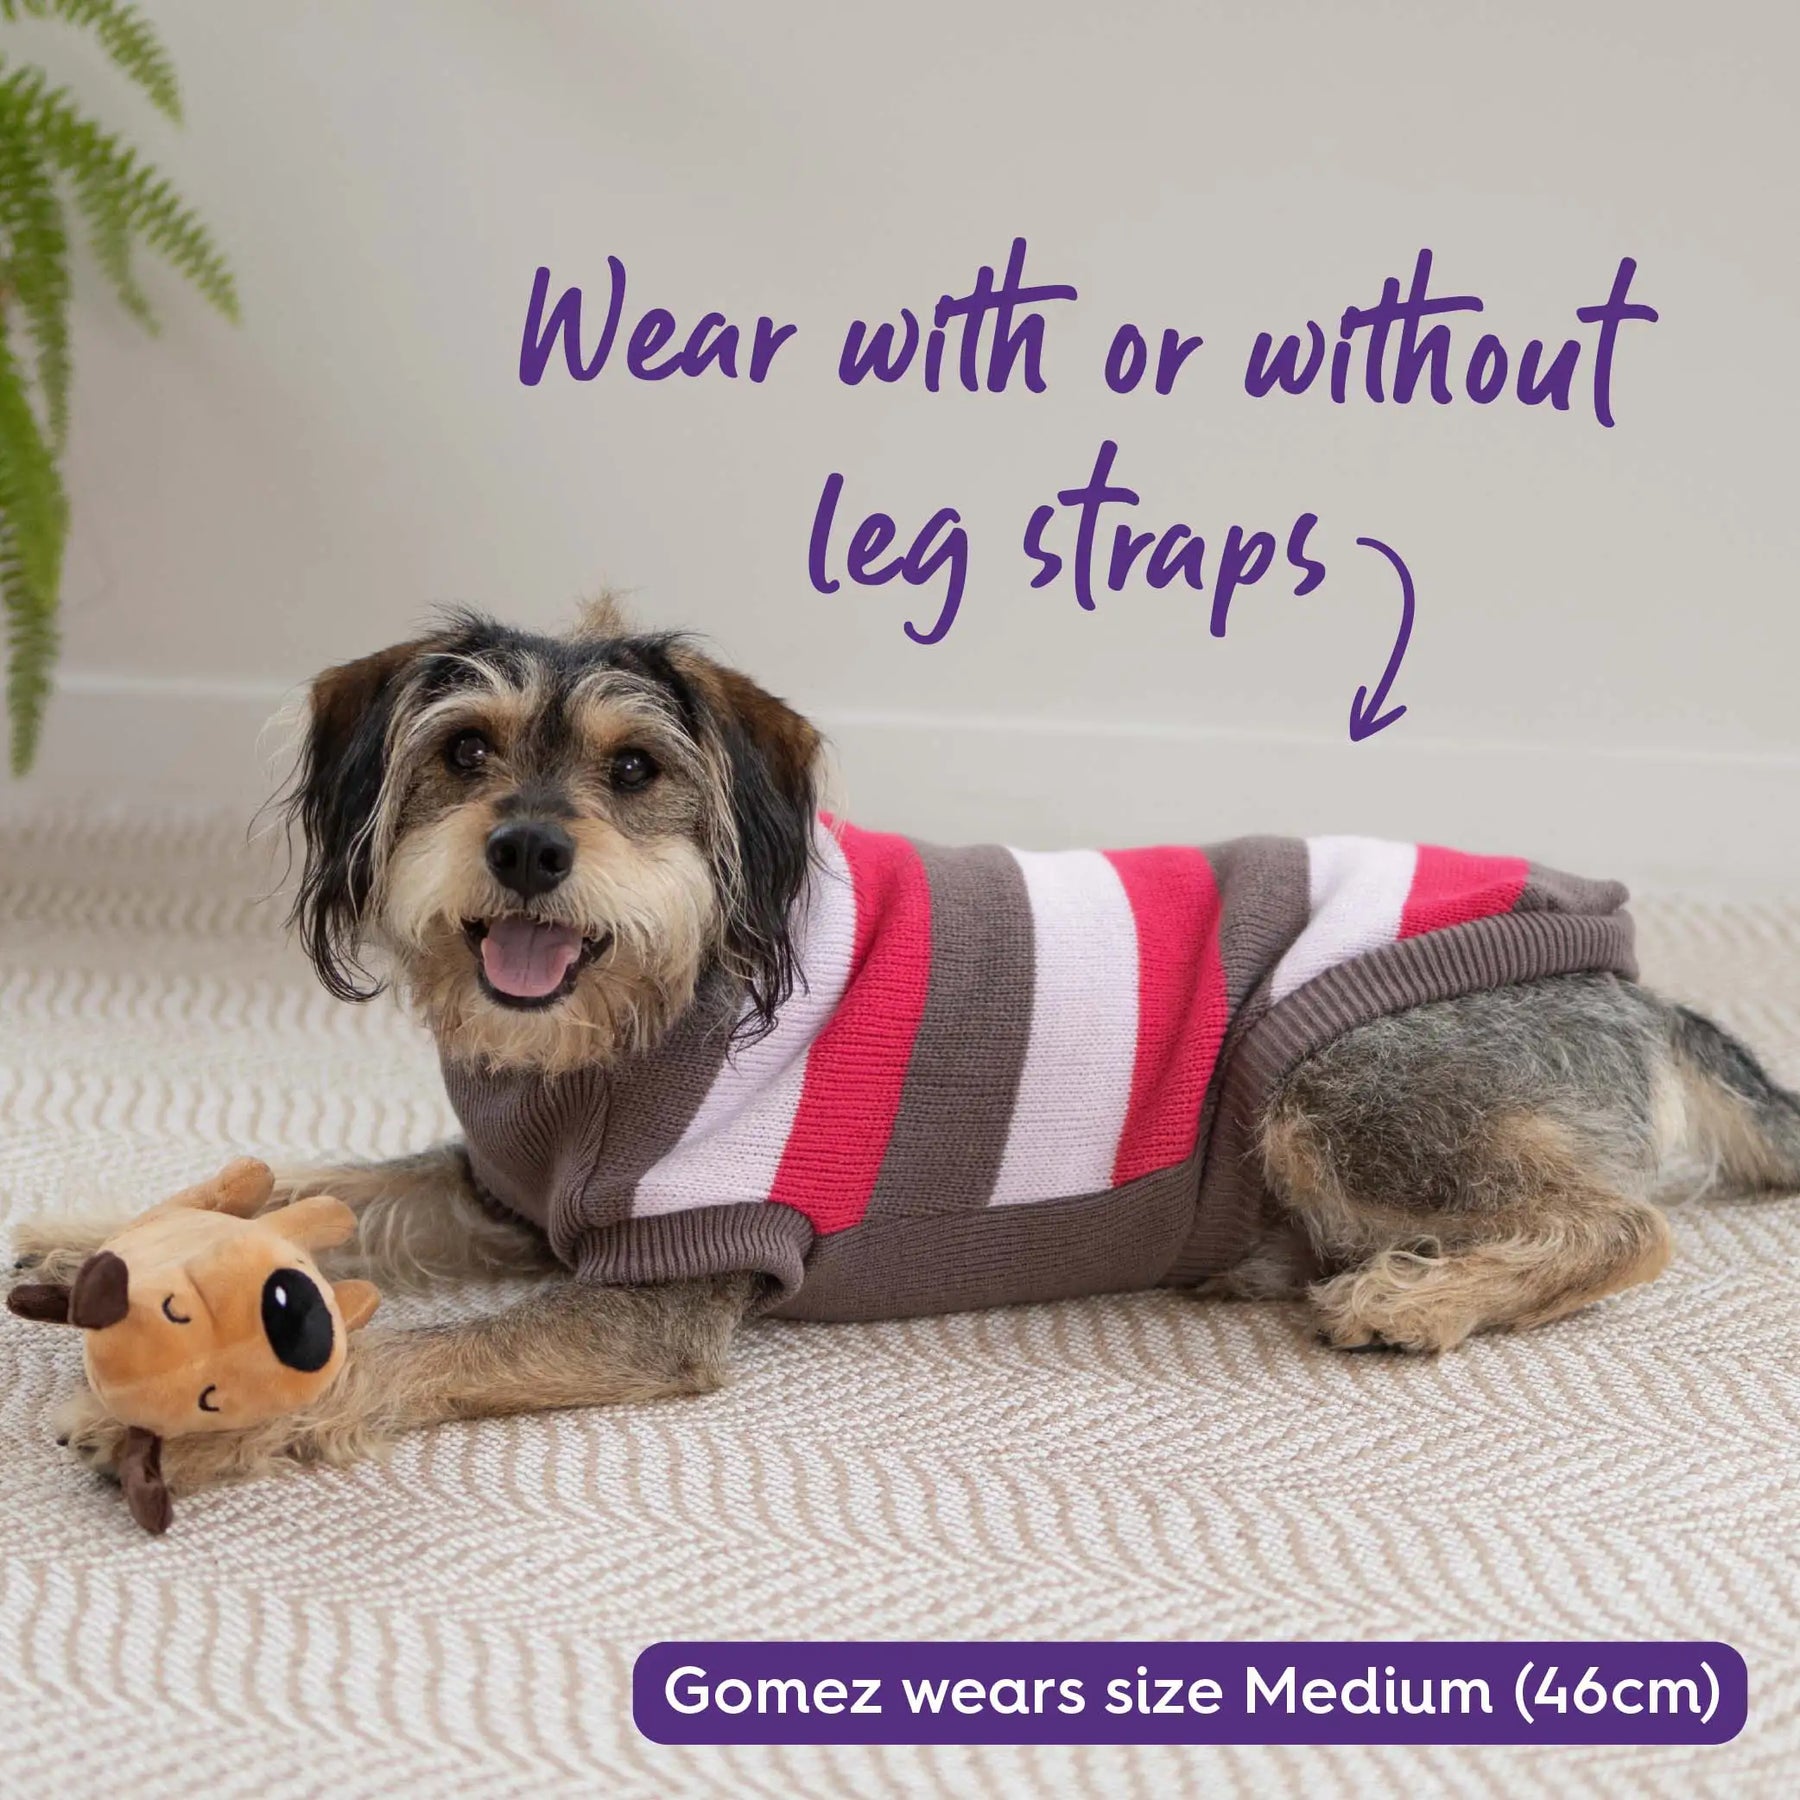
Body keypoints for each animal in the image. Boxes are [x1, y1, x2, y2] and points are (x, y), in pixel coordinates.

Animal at [16, 594, 1800, 1499]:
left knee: (1623, 1228)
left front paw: (185, 1421)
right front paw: (91, 1236)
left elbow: (408, 1349)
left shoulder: (659, 1292)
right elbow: (324, 1189)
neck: (632, 1025)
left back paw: (1420, 1295)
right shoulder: (495, 1193)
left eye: (635, 770)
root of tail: (1633, 979)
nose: (525, 849)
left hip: (1329, 1081)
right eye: (462, 751)